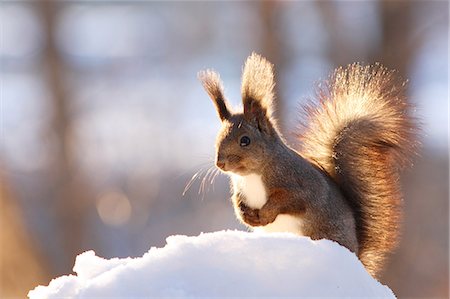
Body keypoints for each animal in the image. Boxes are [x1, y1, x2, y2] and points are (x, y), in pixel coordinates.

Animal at [197, 52, 418, 278]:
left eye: (245, 140)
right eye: (218, 138)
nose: (220, 163)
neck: (252, 175)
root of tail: (356, 256)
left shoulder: (301, 184)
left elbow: (290, 200)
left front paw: (266, 214)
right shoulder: (240, 190)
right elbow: (237, 203)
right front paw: (246, 217)